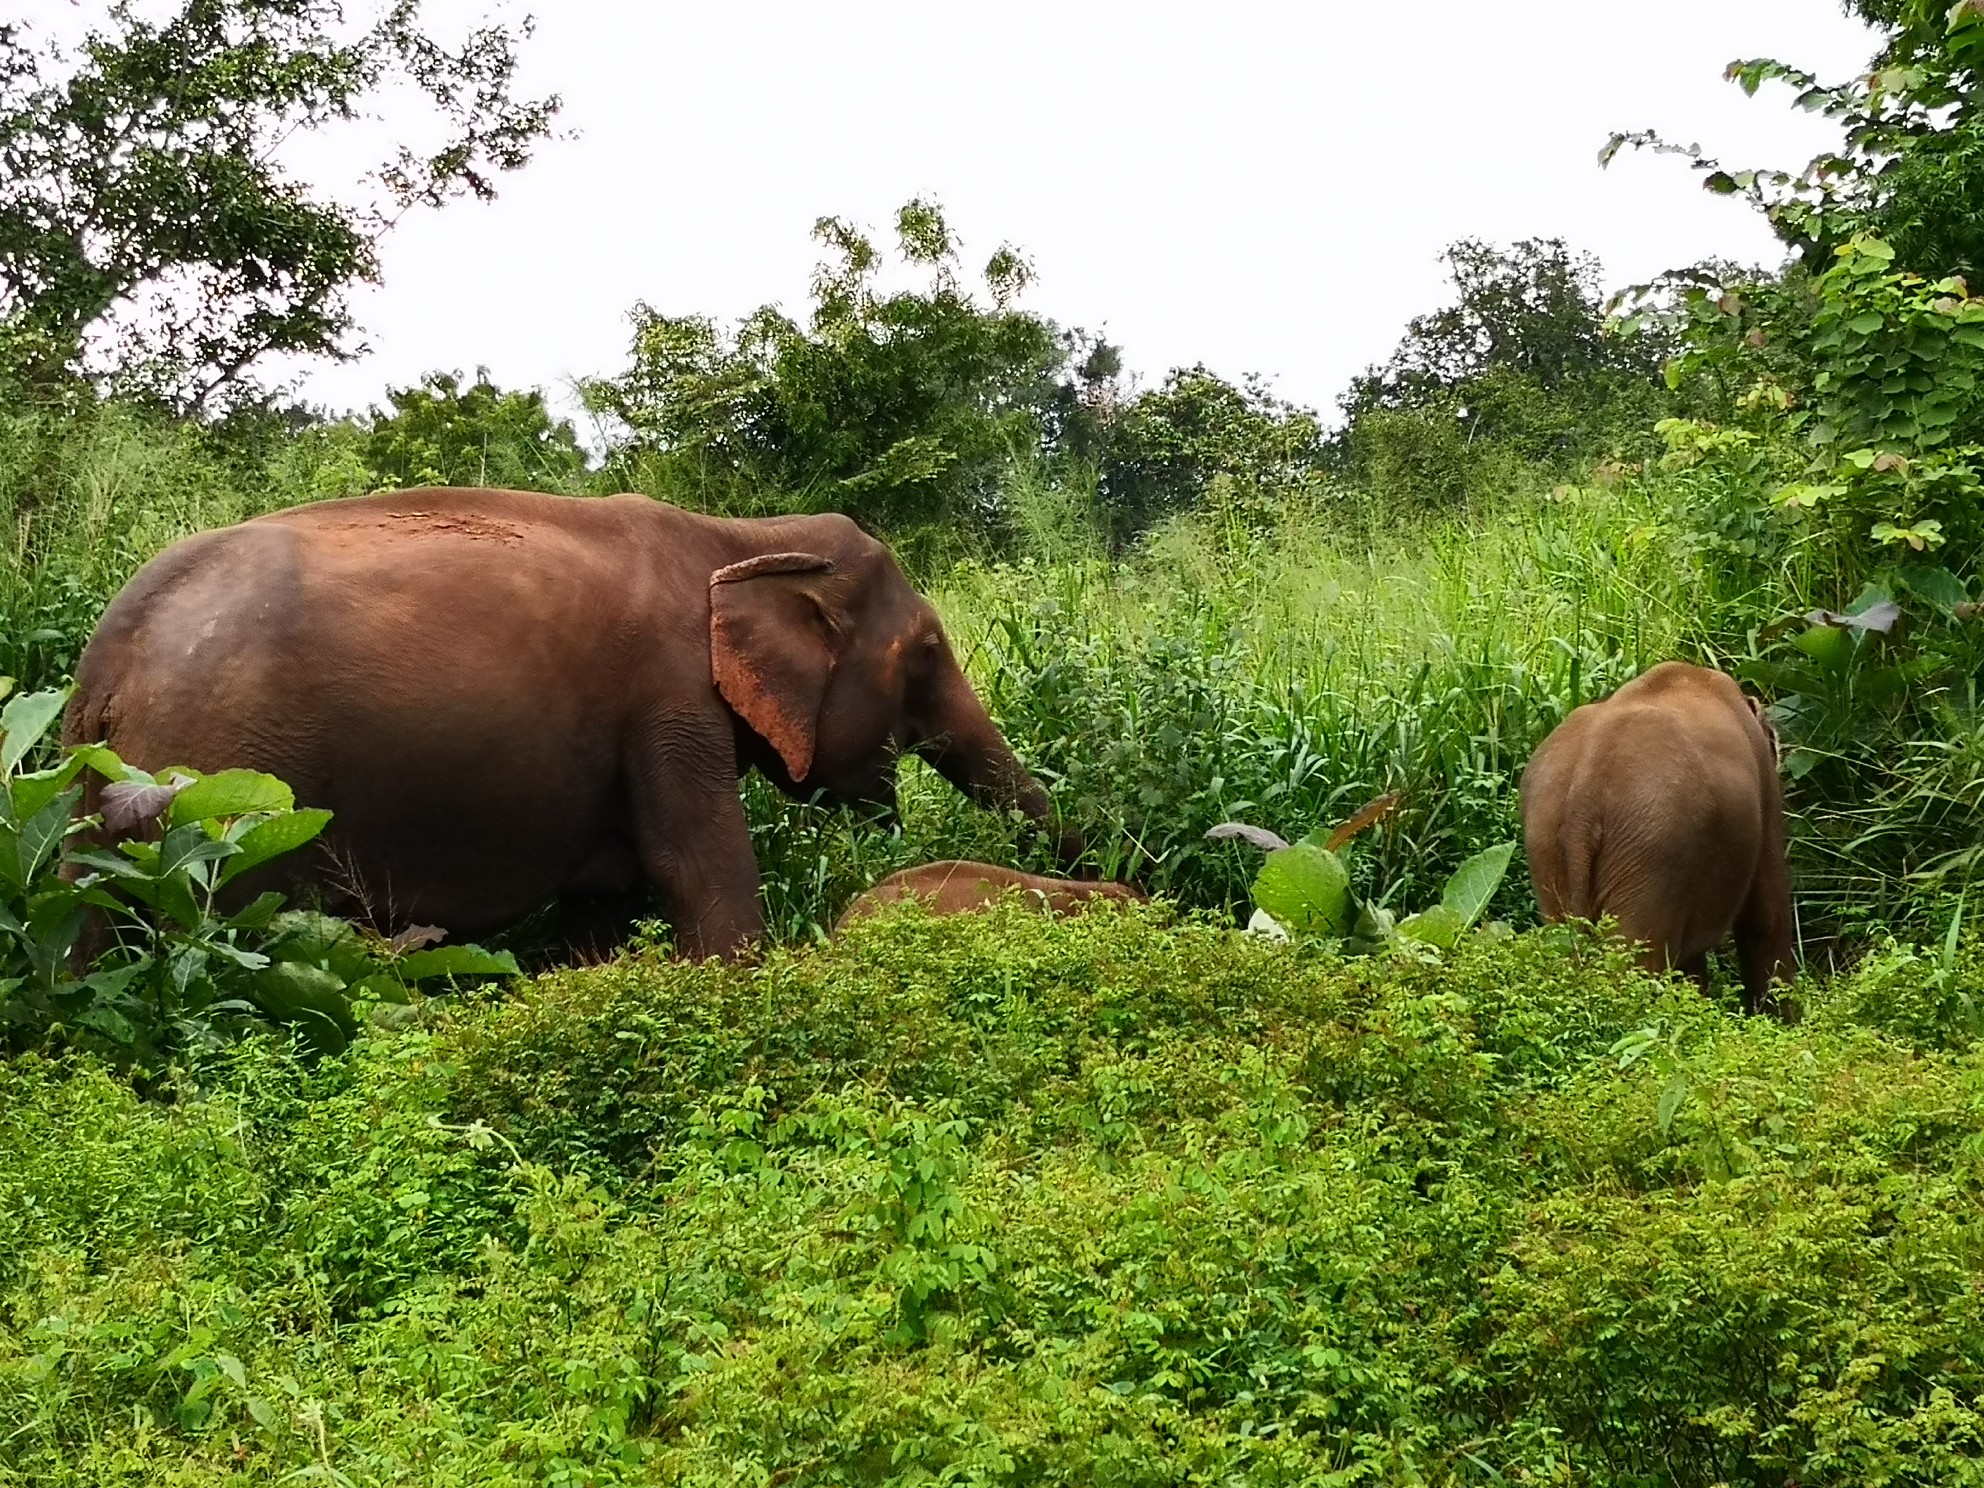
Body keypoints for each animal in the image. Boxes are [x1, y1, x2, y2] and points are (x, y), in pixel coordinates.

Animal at [62, 484, 1079, 960]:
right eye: (925, 656)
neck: (742, 534)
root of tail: (102, 666)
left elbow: (603, 906)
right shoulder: (669, 702)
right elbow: (698, 875)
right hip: (226, 800)